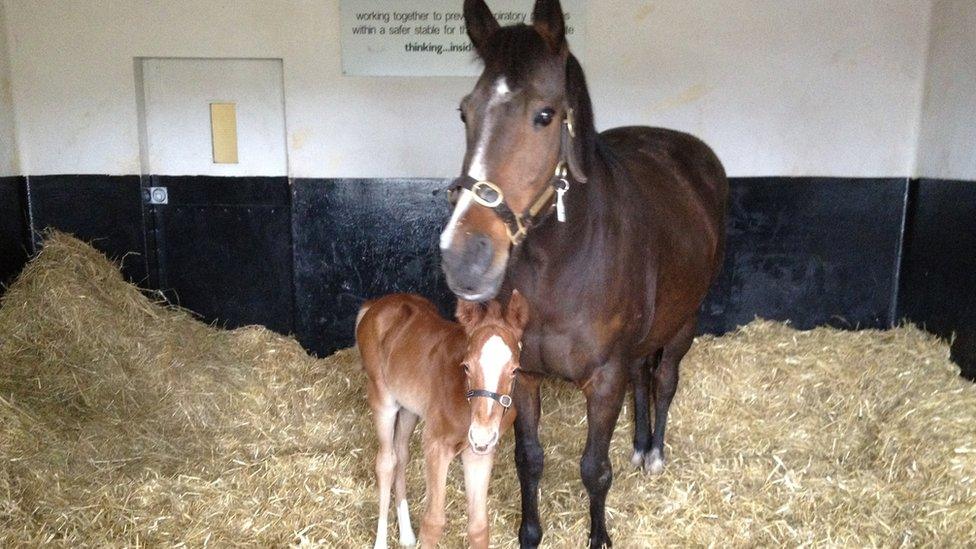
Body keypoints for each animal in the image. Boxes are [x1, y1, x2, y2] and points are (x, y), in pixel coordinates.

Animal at [356, 288, 528, 544]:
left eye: (515, 369)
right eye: (466, 366)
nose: (482, 435)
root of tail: (376, 304)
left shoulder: (479, 453)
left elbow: (479, 527)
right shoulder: (436, 445)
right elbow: (433, 522)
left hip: (409, 409)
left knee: (401, 456)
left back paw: (407, 535)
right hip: (383, 400)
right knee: (386, 461)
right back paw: (381, 543)